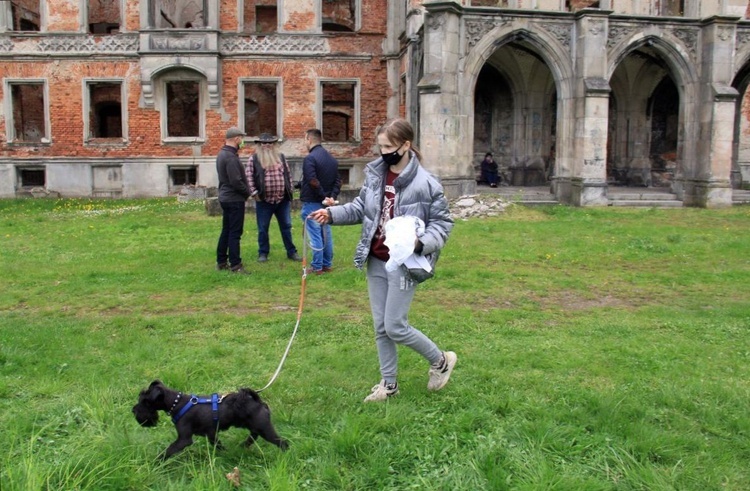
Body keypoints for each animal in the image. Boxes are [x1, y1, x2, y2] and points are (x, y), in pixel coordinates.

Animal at [134, 382, 290, 460]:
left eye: (145, 401)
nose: (134, 410)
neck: (176, 403)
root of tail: (258, 402)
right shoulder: (211, 434)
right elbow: (218, 444)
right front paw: (226, 453)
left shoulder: (184, 439)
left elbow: (169, 450)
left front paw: (156, 462)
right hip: (256, 426)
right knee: (254, 436)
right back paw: (243, 445)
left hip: (265, 430)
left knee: (283, 443)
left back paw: (284, 458)